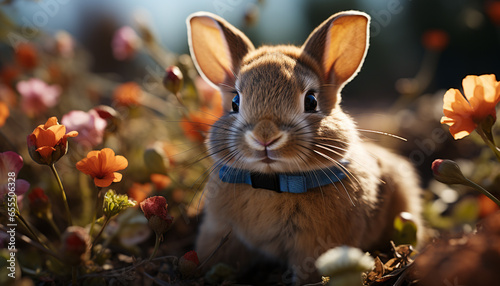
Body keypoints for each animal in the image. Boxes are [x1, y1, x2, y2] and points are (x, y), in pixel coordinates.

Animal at [186, 10, 424, 282]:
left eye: (311, 101)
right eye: (235, 102)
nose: (265, 136)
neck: (274, 181)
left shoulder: (314, 244)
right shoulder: (222, 230)